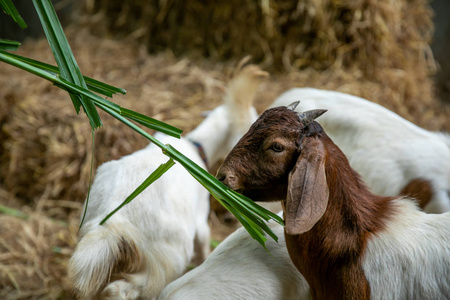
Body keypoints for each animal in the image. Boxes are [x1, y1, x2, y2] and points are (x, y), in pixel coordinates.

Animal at [67, 58, 268, 298]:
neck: (195, 145)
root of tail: (111, 224)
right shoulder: (201, 217)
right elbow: (203, 243)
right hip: (166, 259)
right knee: (123, 289)